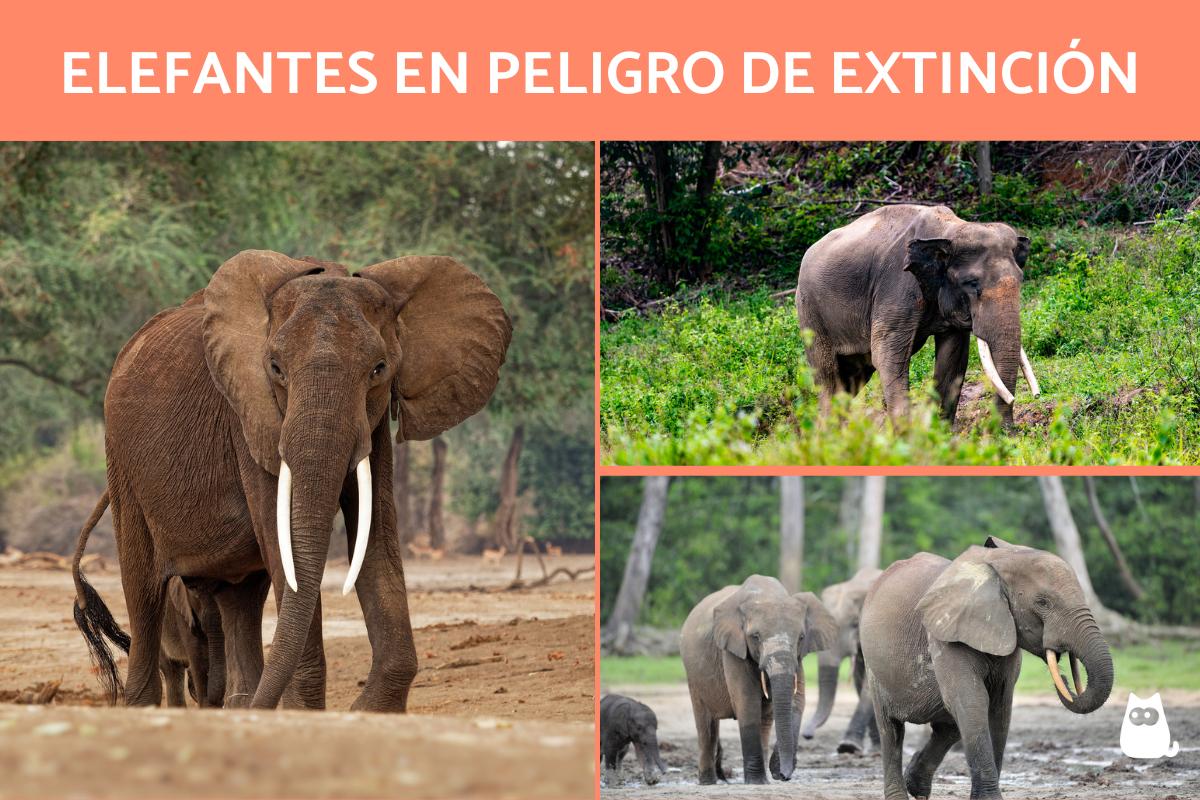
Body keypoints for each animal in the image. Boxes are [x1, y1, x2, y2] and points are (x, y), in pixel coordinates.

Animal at [71, 250, 510, 711]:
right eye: (276, 368)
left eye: (379, 369)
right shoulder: (249, 414)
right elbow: (283, 541)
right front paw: (308, 712)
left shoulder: (373, 429)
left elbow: (376, 532)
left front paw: (370, 711)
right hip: (122, 463)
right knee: (144, 591)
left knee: (240, 598)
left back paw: (242, 703)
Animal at [680, 575, 837, 784]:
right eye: (755, 637)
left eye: (801, 637)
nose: (783, 775)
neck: (767, 595)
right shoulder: (733, 648)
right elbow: (747, 702)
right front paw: (756, 781)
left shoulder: (798, 657)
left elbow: (797, 701)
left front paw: (772, 772)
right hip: (694, 676)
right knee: (706, 727)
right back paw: (709, 782)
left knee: (765, 721)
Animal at [796, 204, 1040, 427]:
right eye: (972, 283)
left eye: (1020, 279)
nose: (1006, 434)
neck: (950, 229)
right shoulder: (895, 288)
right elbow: (886, 354)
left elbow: (953, 357)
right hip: (810, 315)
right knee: (828, 376)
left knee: (852, 378)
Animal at [860, 537, 1114, 800]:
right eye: (1043, 602)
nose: (1063, 678)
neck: (1000, 561)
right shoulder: (945, 635)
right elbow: (972, 701)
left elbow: (999, 708)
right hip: (873, 665)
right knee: (891, 730)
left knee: (948, 726)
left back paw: (918, 787)